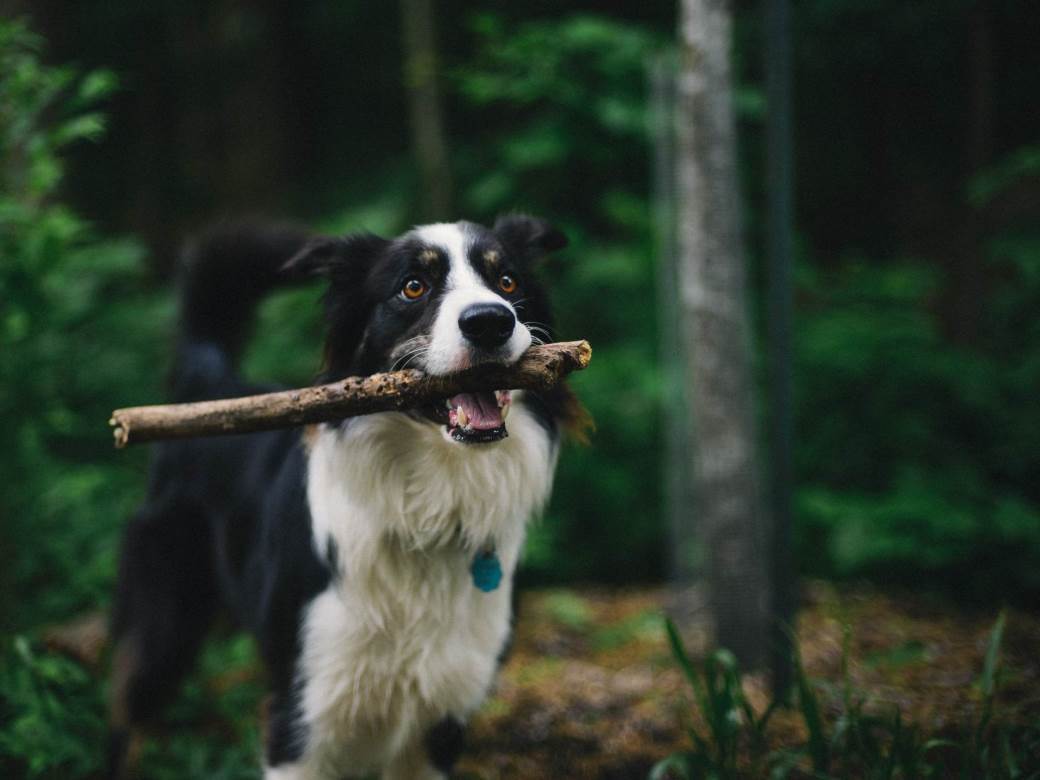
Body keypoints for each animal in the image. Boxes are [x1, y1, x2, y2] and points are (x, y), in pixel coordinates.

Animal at [107, 215, 586, 780]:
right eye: (413, 286)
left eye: (507, 281)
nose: (490, 321)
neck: (428, 507)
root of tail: (212, 380)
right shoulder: (302, 716)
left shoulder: (442, 718)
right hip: (165, 620)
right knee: (127, 716)